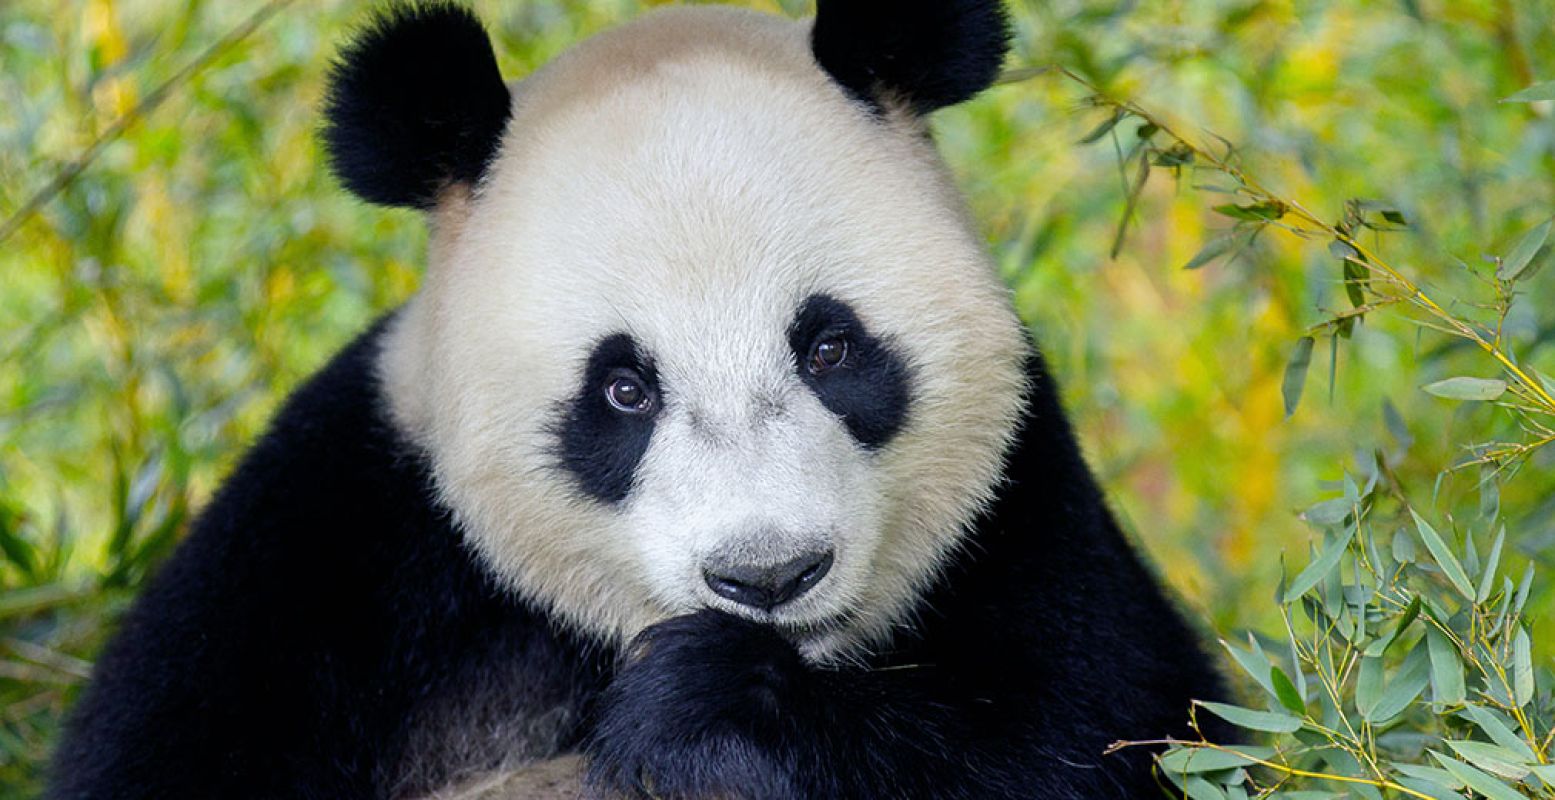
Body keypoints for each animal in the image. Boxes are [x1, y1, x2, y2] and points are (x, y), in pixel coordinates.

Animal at [42, 1, 1219, 796]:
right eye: (622, 389)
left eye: (829, 346)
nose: (768, 575)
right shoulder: (337, 543)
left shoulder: (1026, 509)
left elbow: (1102, 735)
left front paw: (704, 711)